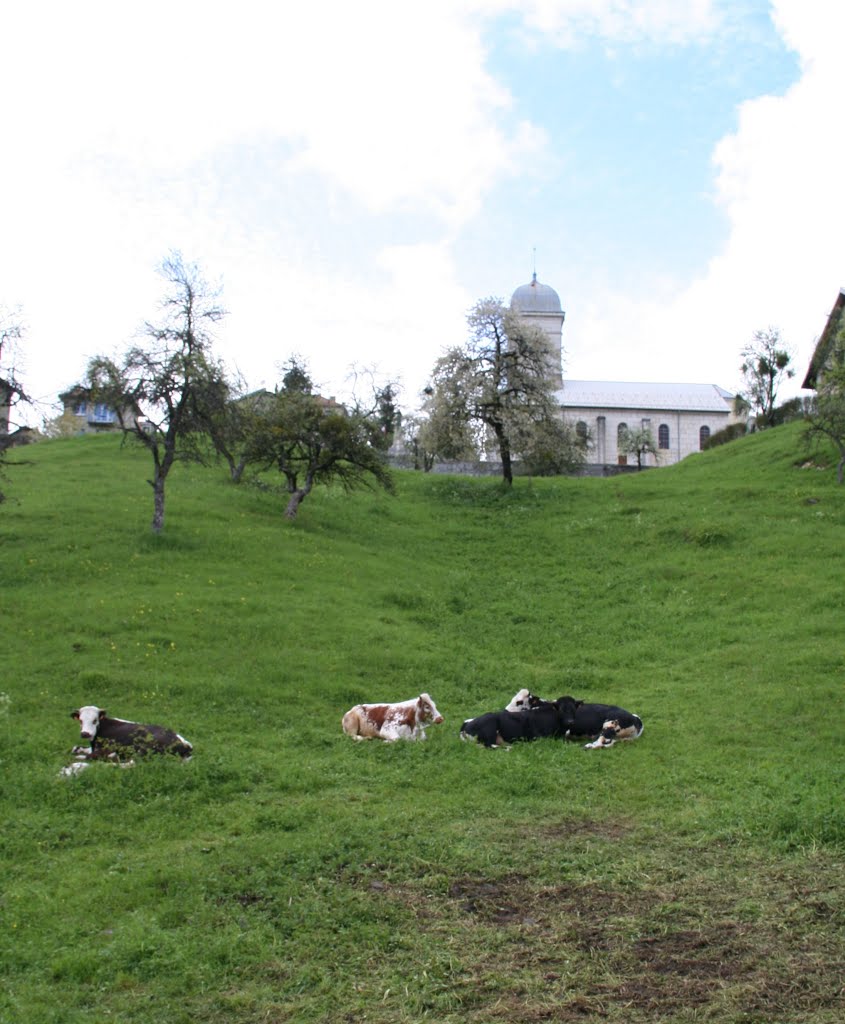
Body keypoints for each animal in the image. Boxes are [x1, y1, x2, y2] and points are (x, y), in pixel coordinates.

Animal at [503, 688, 643, 753]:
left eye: (519, 702)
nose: (505, 710)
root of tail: (636, 719)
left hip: (609, 724)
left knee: (601, 742)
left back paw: (587, 746)